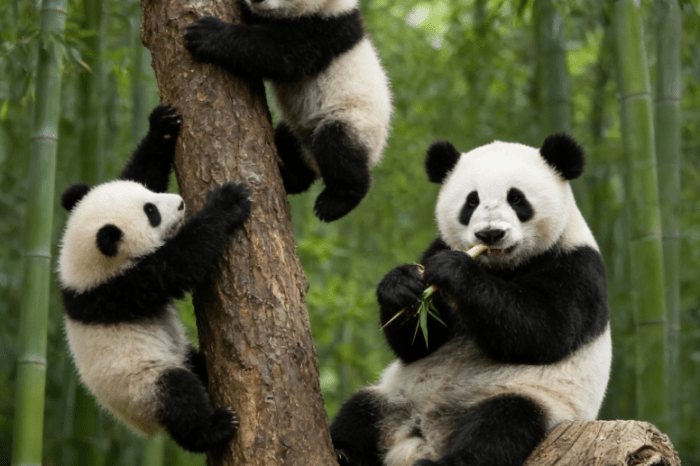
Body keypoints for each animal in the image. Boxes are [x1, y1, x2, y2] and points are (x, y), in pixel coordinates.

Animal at [57, 104, 252, 453]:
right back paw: (212, 428)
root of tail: (141, 428)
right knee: (178, 394)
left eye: (147, 193)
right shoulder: (123, 287)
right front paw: (228, 201)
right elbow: (182, 262)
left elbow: (141, 168)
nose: (180, 202)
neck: (80, 270)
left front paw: (163, 124)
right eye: (152, 212)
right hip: (143, 385)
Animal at [184, 0, 392, 222]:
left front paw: (207, 33)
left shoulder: (325, 31)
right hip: (298, 130)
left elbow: (278, 53)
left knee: (336, 146)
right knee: (288, 143)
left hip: (355, 121)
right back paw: (291, 178)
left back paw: (336, 202)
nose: (256, 0)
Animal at [329, 134, 612, 466]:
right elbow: (418, 343)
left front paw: (454, 270)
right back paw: (344, 451)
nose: (490, 234)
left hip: (533, 399)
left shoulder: (578, 267)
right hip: (396, 395)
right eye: (471, 201)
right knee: (360, 410)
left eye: (517, 199)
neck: (500, 266)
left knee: (499, 426)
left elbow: (543, 330)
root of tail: (421, 437)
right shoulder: (437, 246)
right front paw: (403, 285)